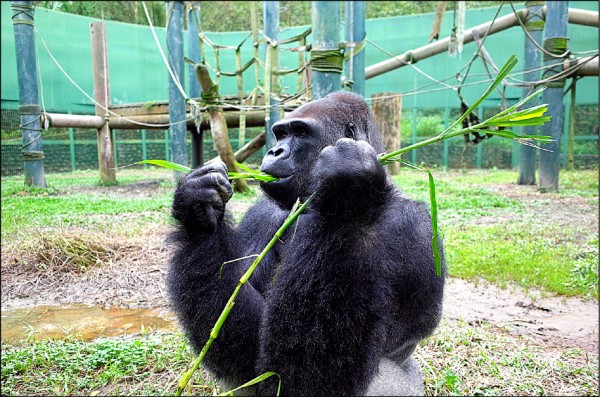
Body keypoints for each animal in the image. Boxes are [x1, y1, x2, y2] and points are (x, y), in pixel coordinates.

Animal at [168, 91, 446, 394]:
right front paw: (199, 209)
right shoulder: (263, 213)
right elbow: (250, 348)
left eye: (301, 133)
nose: (275, 152)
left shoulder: (413, 225)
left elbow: (312, 371)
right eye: (280, 134)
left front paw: (348, 193)